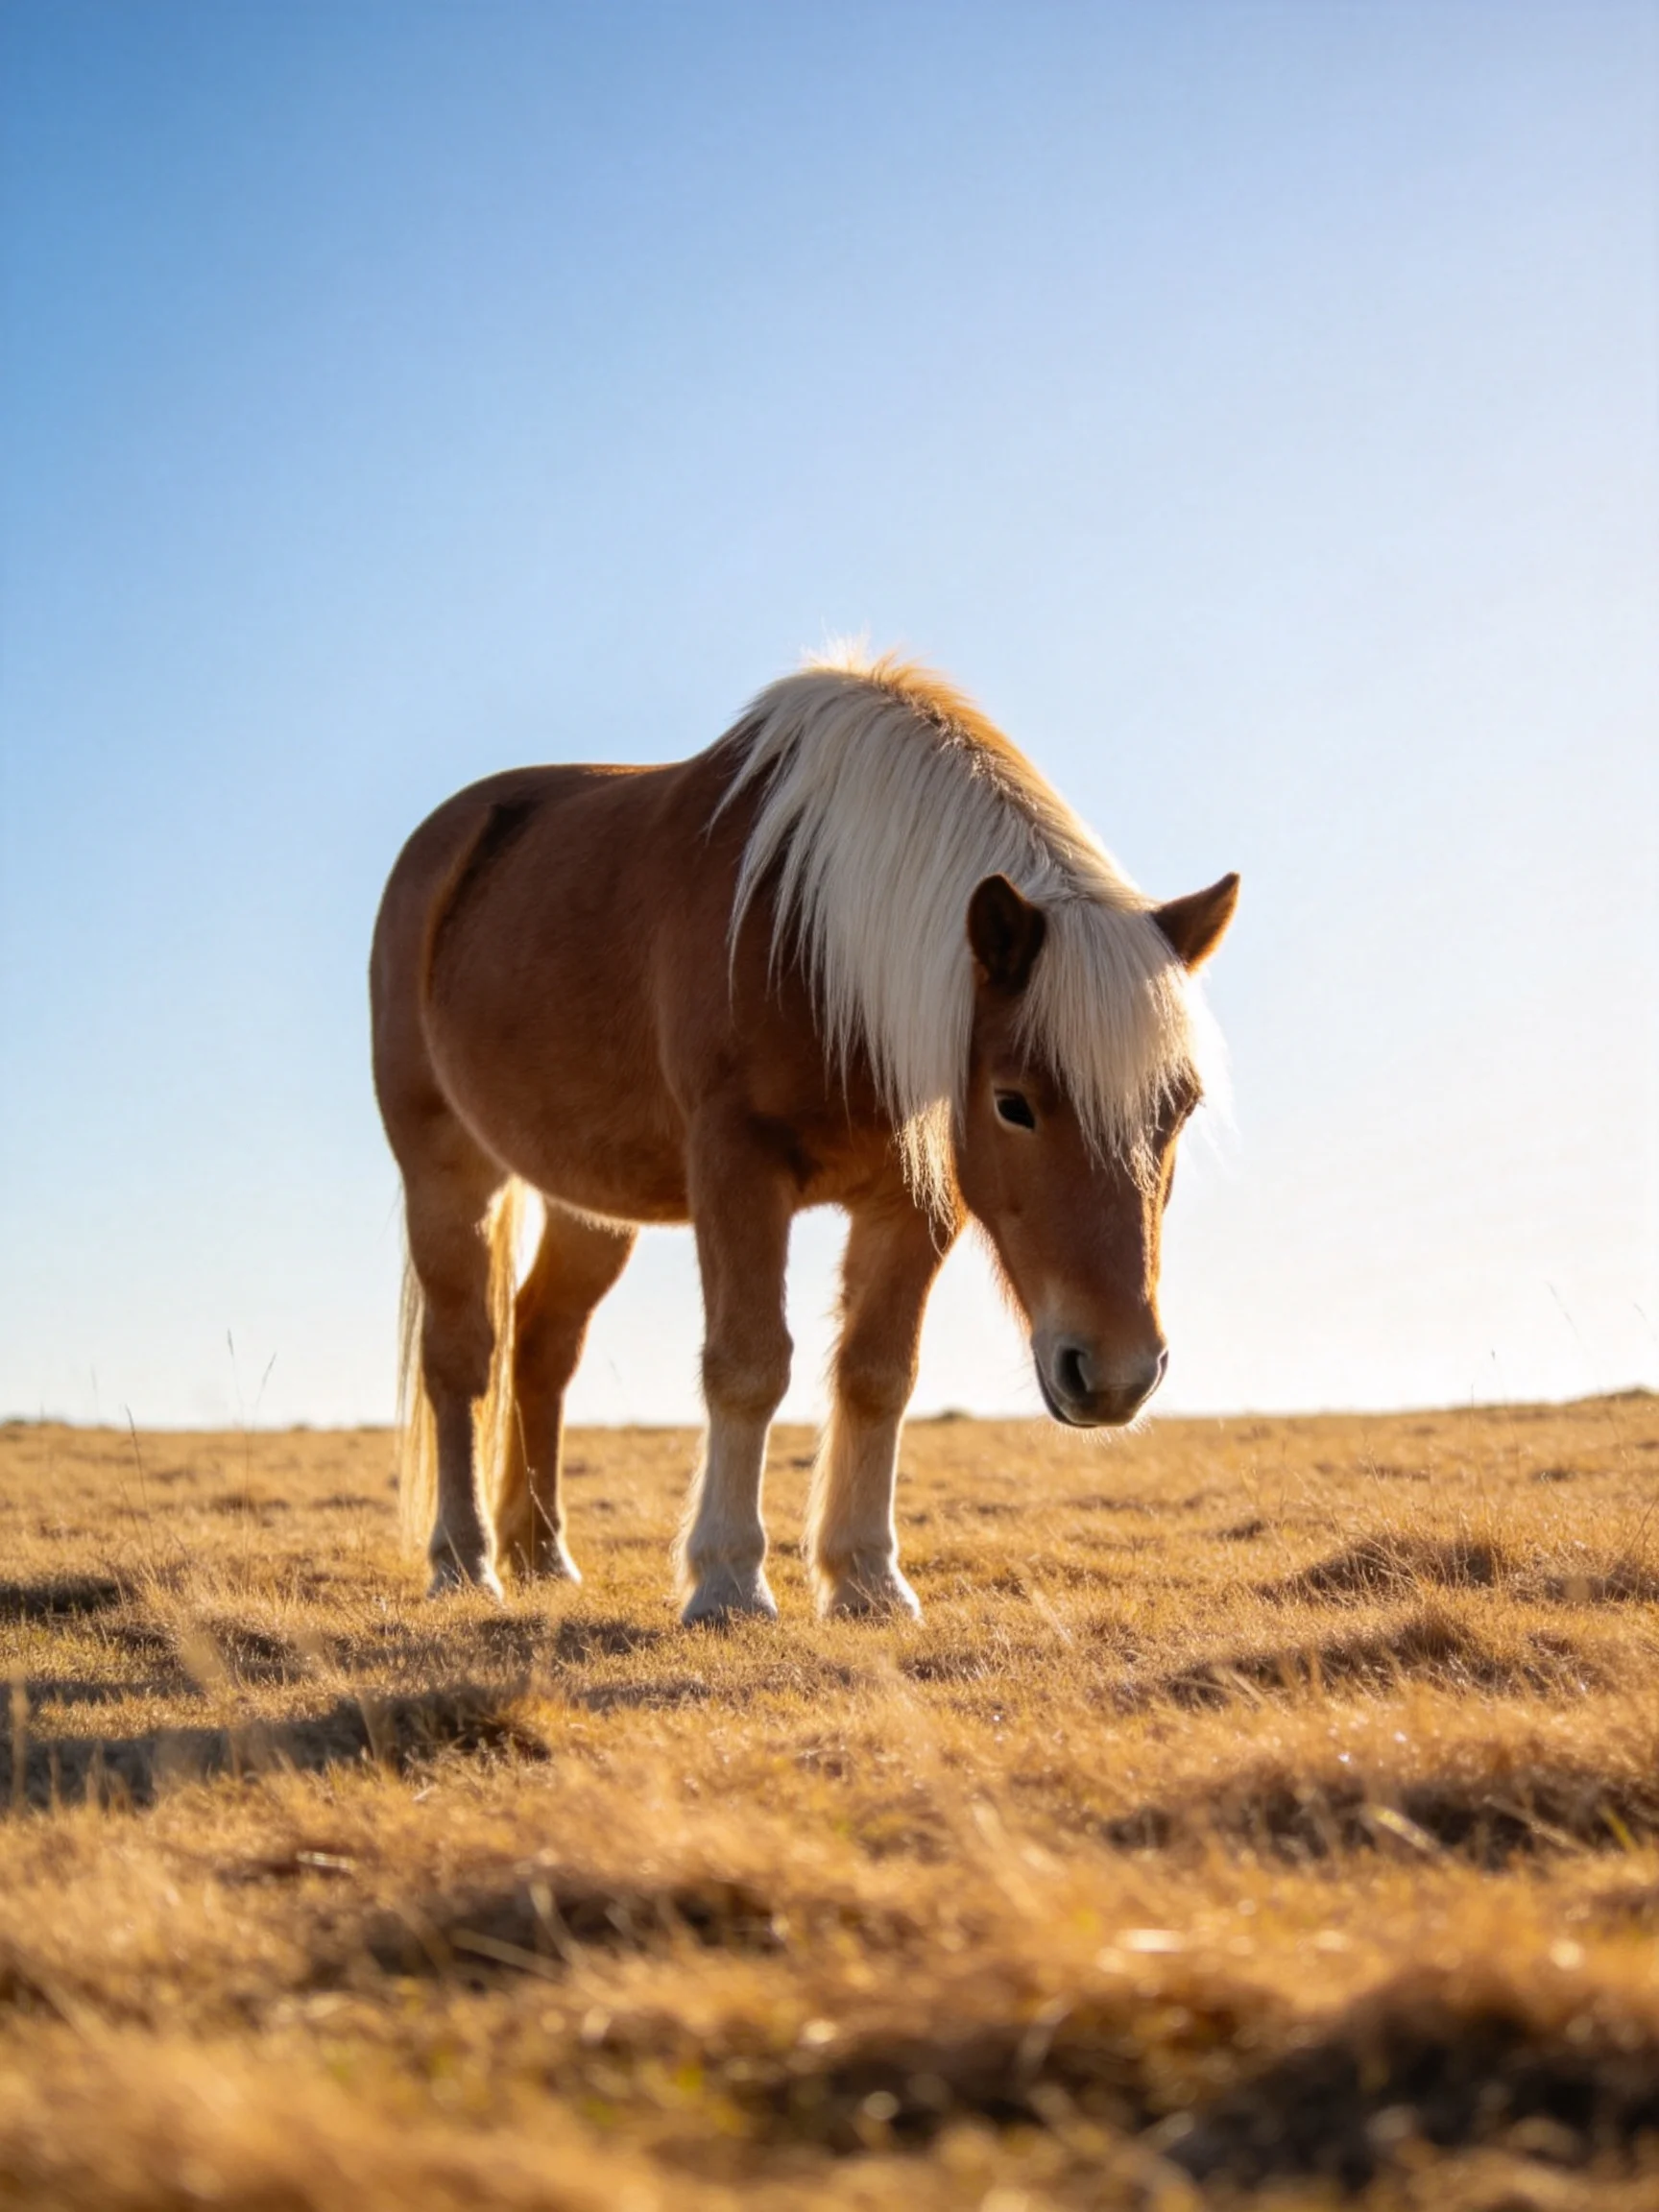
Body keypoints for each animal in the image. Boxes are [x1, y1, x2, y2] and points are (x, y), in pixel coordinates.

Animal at [370, 650, 1238, 1625]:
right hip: (446, 1166)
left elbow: (877, 1373)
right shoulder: (737, 1169)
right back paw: (464, 1559)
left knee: (543, 1345)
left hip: (590, 1204)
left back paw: (542, 1553)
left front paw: (866, 1577)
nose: (1119, 1374)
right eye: (1014, 1103)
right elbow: (748, 1364)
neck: (822, 947)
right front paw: (728, 1580)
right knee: (462, 1354)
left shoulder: (915, 1198)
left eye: (1182, 1108)